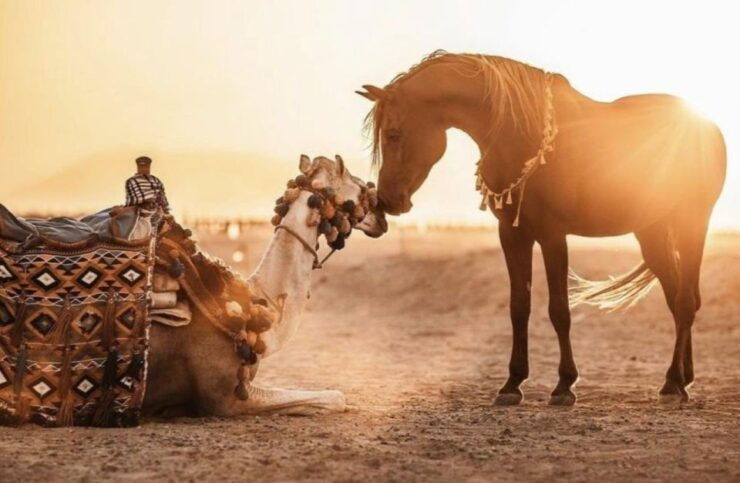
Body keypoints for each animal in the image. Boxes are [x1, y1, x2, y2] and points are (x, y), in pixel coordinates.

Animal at [355, 51, 726, 406]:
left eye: (393, 134)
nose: (387, 200)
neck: (519, 134)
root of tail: (707, 127)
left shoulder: (552, 235)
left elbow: (559, 310)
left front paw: (564, 385)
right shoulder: (512, 235)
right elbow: (519, 307)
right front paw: (512, 383)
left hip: (693, 222)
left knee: (685, 301)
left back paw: (674, 384)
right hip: (652, 232)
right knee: (678, 299)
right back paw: (681, 379)